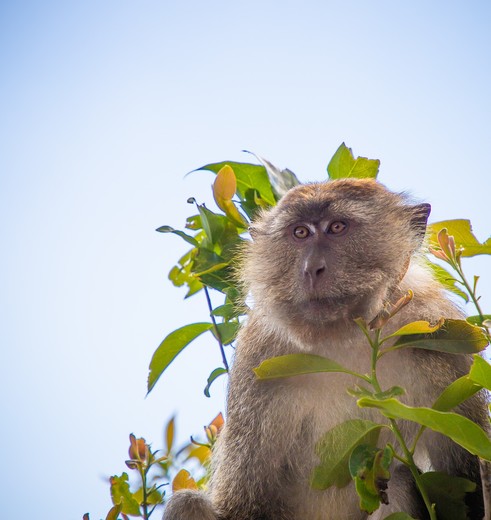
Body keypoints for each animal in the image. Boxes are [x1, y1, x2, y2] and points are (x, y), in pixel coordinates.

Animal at [163, 179, 490, 520]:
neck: (344, 340)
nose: (311, 269)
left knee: (398, 480)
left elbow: (466, 485)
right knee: (187, 503)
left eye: (337, 227)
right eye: (300, 232)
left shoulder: (442, 339)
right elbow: (241, 505)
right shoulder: (258, 360)